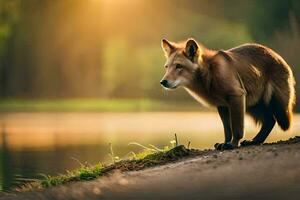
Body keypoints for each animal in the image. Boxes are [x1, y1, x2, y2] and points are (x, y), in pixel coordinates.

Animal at [159, 38, 296, 150]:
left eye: (179, 66)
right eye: (166, 67)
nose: (163, 82)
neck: (210, 73)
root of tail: (278, 57)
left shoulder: (236, 97)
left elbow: (237, 128)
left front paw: (232, 144)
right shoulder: (223, 105)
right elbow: (227, 130)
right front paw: (225, 143)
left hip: (272, 106)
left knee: (272, 120)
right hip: (253, 105)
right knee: (269, 121)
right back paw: (255, 141)